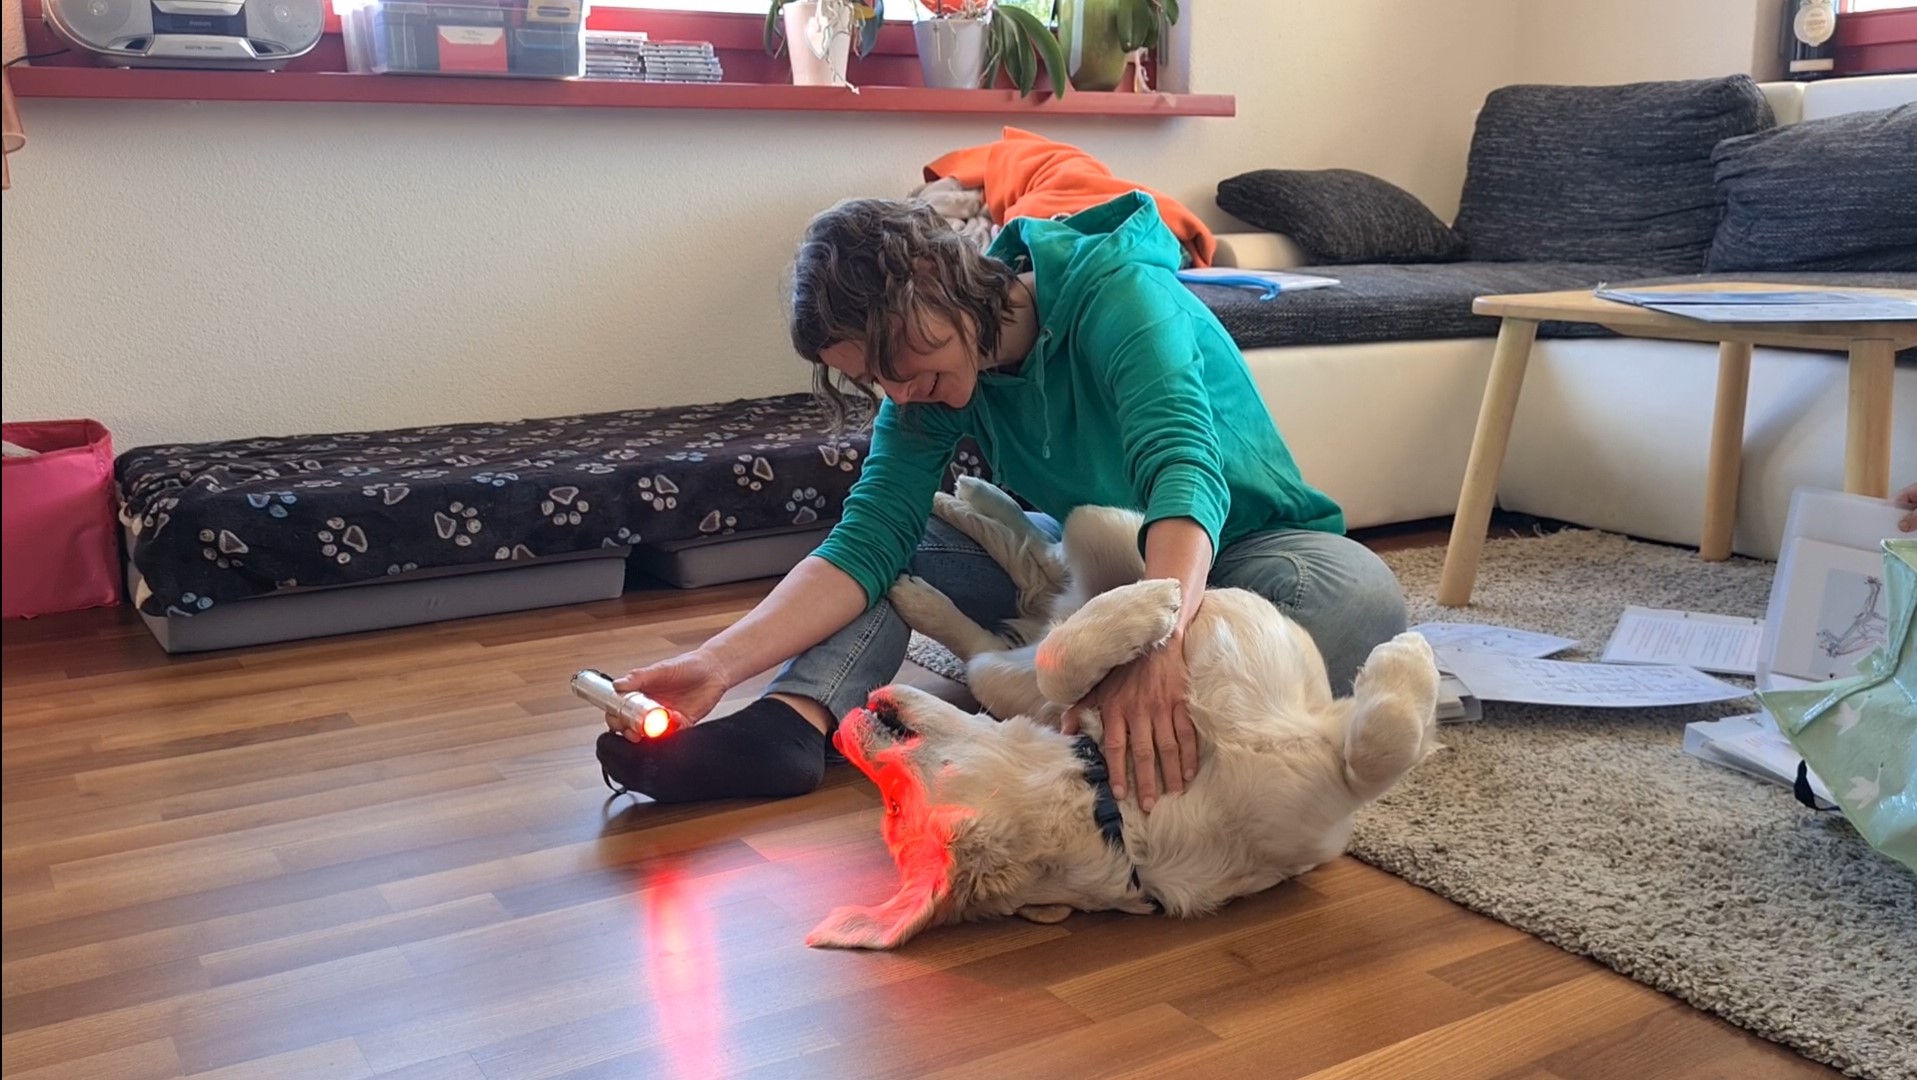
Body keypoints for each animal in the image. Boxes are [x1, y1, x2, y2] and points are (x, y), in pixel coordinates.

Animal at [806, 478, 1442, 950]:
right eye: (894, 805)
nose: (846, 732)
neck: (1115, 804)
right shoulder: (1324, 800)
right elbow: (1379, 747)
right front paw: (1409, 657)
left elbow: (1060, 660)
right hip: (1076, 567)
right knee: (1034, 600)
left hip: (1099, 532)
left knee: (1043, 565)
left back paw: (963, 500)